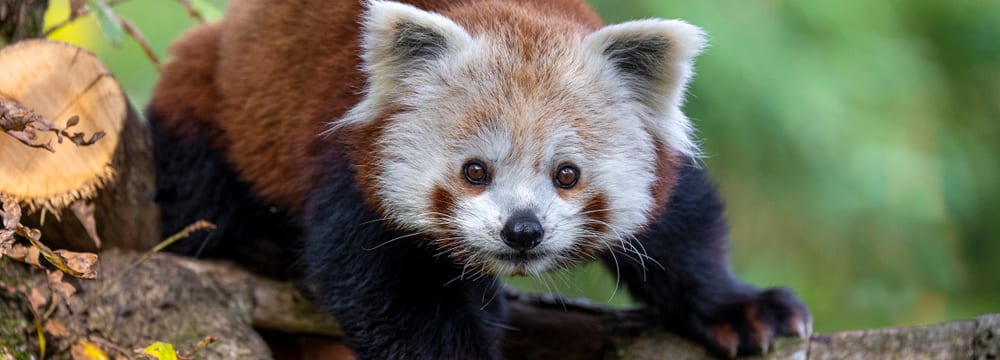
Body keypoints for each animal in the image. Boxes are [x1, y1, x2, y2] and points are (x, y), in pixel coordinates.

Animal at [152, 0, 816, 356]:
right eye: (475, 171)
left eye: (567, 175)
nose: (522, 230)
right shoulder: (353, 170)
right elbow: (390, 297)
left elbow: (681, 228)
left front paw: (742, 308)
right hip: (208, 98)